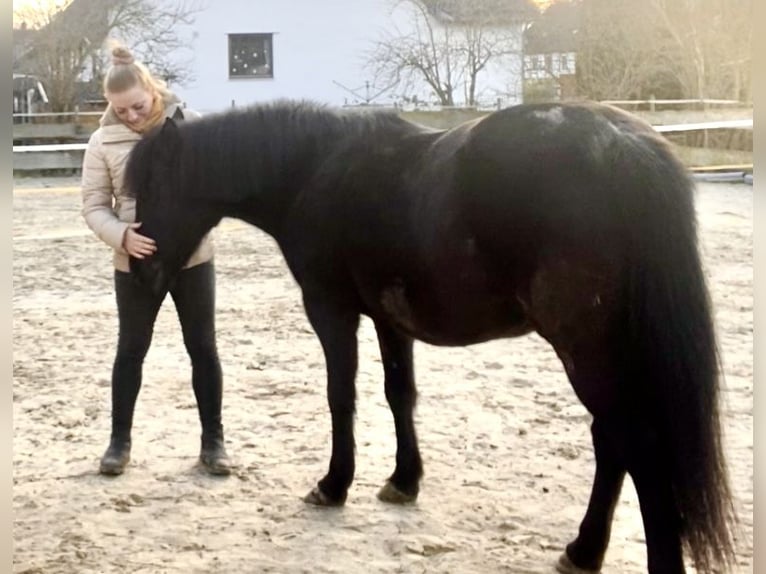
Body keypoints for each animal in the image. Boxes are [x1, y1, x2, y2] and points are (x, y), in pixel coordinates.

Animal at [126, 101, 736, 572]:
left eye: (153, 188)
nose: (140, 270)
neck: (313, 170)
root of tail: (624, 147)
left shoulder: (330, 310)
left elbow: (340, 397)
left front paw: (334, 484)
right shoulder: (390, 320)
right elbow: (400, 395)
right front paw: (404, 480)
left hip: (587, 349)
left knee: (634, 443)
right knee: (613, 441)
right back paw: (583, 550)